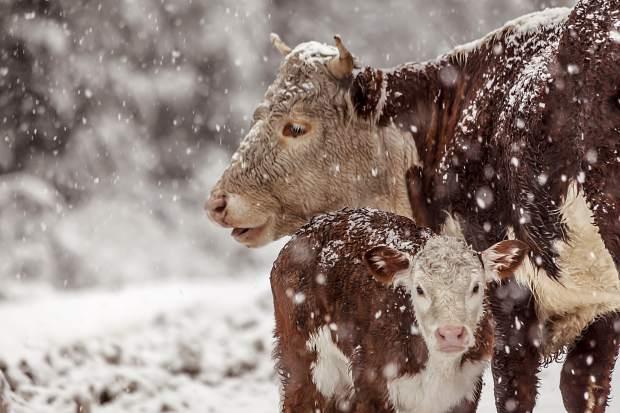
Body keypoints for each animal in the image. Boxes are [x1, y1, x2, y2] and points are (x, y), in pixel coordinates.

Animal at [272, 208, 528, 410]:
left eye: (476, 287)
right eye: (419, 289)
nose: (450, 334)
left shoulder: (467, 388)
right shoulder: (371, 382)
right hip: (307, 362)